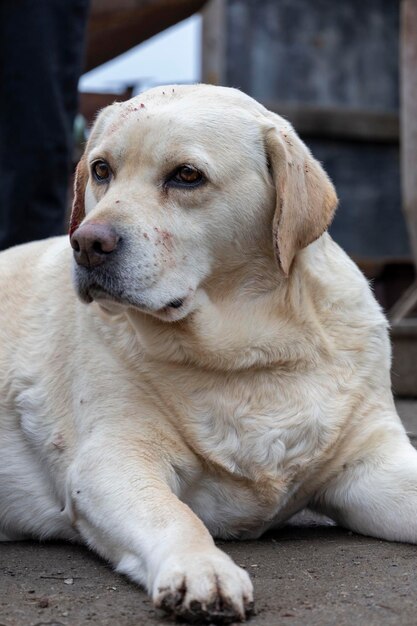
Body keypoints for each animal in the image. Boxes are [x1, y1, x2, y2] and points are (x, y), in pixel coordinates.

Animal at [0, 84, 416, 624]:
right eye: (101, 170)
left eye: (186, 176)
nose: (87, 243)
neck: (250, 355)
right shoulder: (111, 461)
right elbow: (176, 516)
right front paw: (202, 569)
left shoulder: (373, 465)